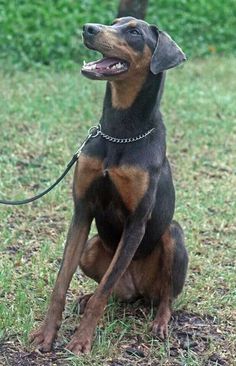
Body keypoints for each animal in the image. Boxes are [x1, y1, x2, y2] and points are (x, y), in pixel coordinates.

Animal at [29, 16, 188, 354]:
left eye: (134, 32)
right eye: (113, 23)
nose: (88, 28)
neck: (120, 131)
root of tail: (137, 289)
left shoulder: (136, 223)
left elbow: (103, 292)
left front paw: (81, 340)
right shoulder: (82, 210)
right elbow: (61, 281)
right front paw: (46, 334)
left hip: (173, 236)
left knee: (163, 295)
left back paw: (161, 322)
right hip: (92, 249)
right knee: (113, 290)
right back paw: (87, 297)